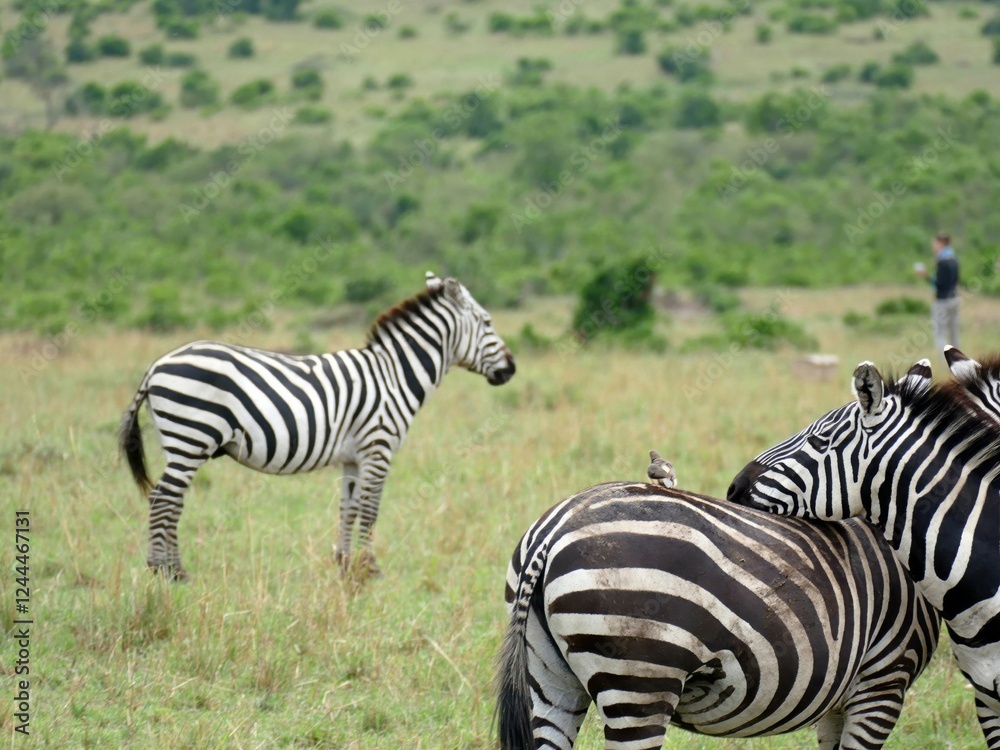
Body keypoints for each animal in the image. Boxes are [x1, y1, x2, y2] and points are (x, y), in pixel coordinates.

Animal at [119, 273, 515, 580]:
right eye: (488, 322)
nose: (511, 369)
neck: (394, 375)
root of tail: (156, 365)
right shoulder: (378, 448)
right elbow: (371, 508)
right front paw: (370, 568)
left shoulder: (353, 456)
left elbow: (349, 507)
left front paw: (344, 564)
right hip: (190, 437)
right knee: (164, 499)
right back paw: (166, 570)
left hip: (182, 443)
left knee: (170, 499)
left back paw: (172, 568)